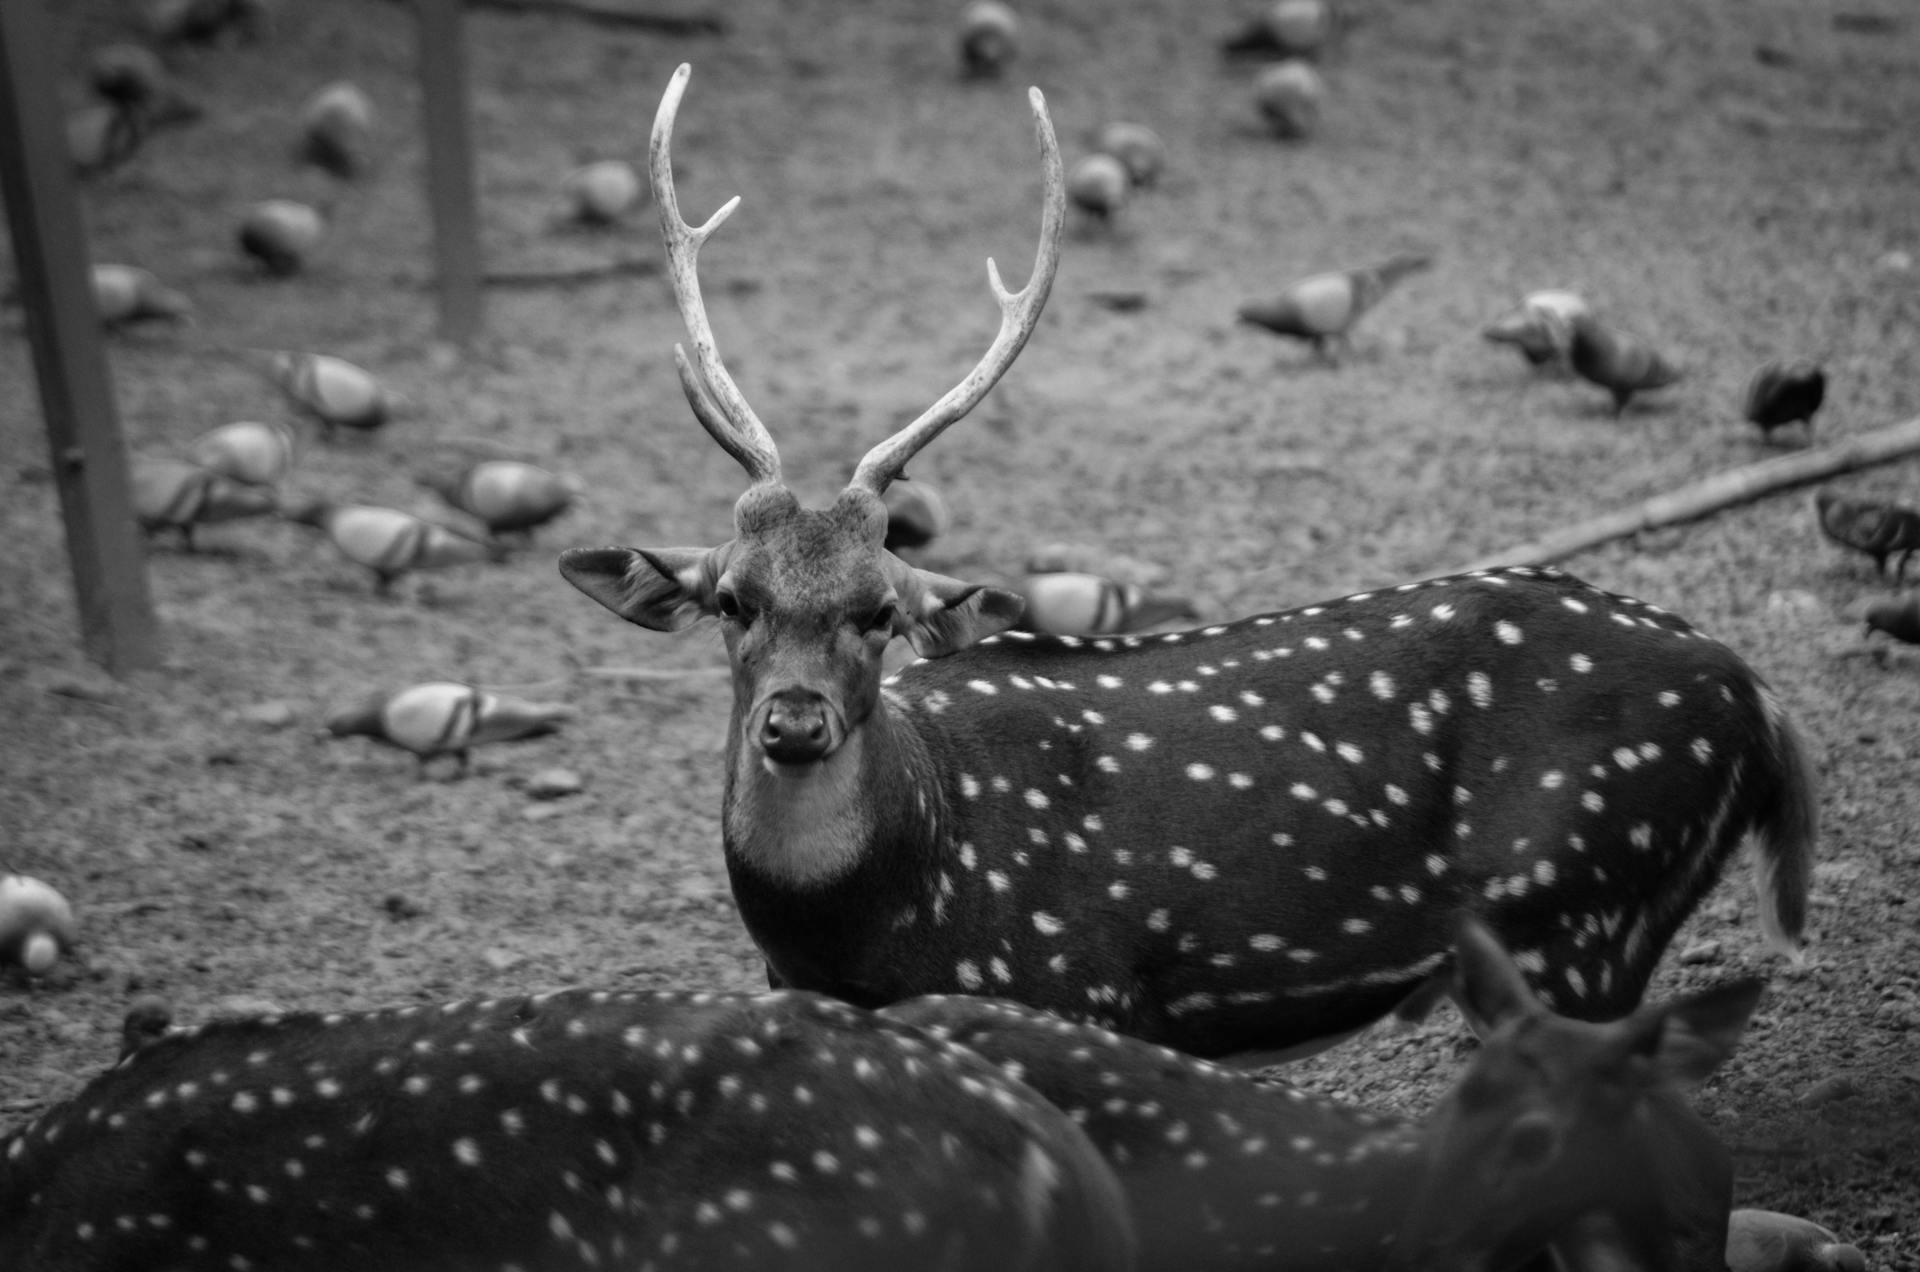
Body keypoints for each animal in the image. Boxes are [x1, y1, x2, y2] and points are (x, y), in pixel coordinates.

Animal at [560, 67, 1820, 1068]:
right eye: (734, 600)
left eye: (880, 611)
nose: (795, 721)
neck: (879, 929)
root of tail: (1762, 706)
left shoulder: (1073, 995)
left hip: (1586, 913)